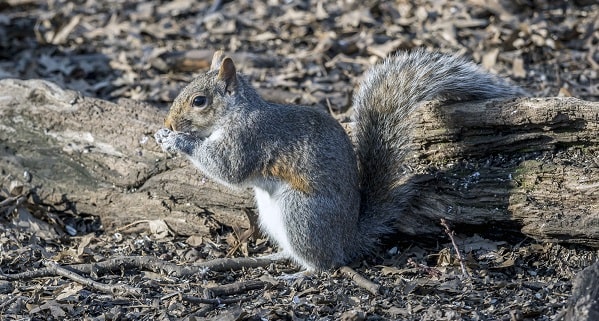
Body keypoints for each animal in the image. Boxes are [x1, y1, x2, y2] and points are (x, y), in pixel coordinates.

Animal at [155, 48, 524, 272]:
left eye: (199, 101)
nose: (169, 123)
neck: (235, 113)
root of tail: (349, 239)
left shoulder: (249, 139)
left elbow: (228, 169)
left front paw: (179, 141)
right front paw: (163, 136)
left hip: (301, 213)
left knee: (326, 264)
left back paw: (299, 273)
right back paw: (276, 255)